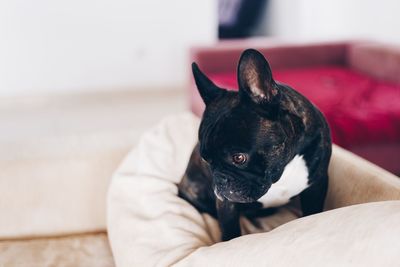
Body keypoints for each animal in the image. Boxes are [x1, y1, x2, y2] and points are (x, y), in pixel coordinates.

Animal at [178, 48, 332, 243]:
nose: (219, 181)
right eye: (206, 160)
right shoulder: (226, 204)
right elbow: (230, 229)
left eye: (239, 158)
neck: (284, 167)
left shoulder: (317, 185)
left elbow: (313, 213)